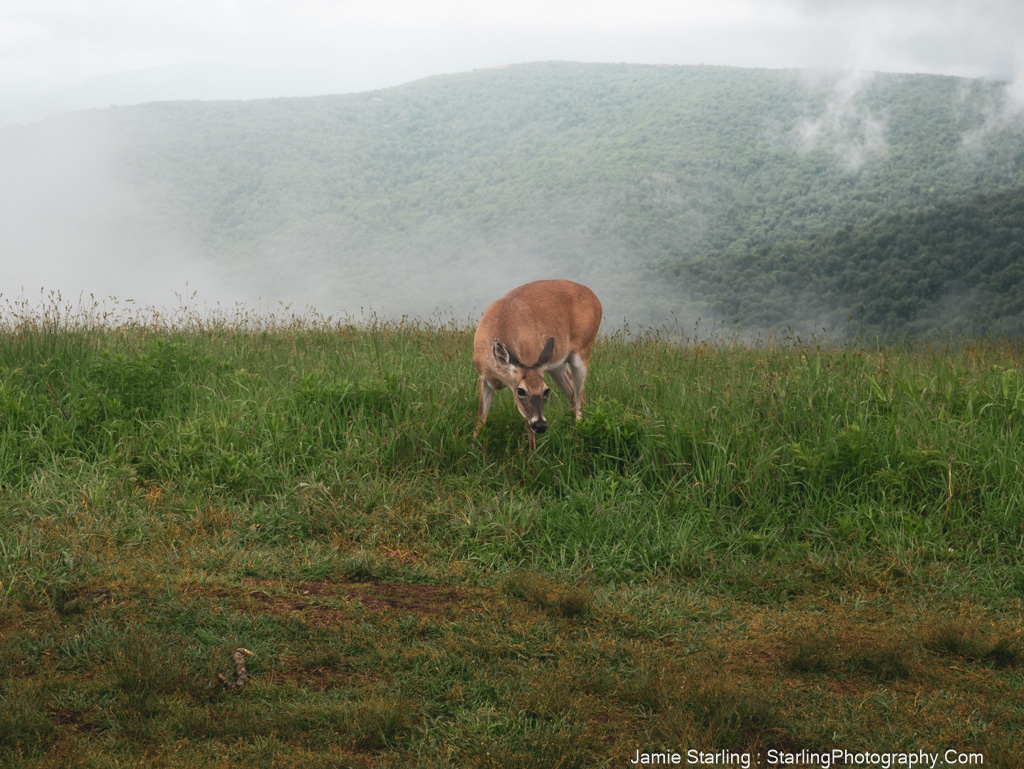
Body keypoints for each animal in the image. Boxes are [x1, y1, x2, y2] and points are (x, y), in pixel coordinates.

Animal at [475, 280, 602, 450]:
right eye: (521, 391)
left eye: (546, 390)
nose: (541, 425)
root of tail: (596, 299)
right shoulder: (484, 378)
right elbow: (481, 418)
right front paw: (474, 447)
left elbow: (527, 426)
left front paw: (532, 454)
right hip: (556, 364)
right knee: (571, 391)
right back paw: (570, 431)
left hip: (583, 351)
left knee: (579, 396)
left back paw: (578, 437)